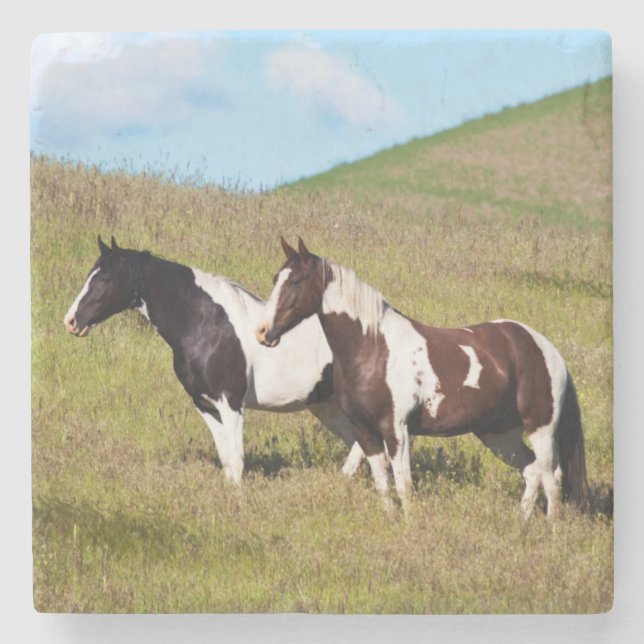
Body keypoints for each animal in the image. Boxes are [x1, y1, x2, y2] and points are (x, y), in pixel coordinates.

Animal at [63, 236, 365, 484]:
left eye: (105, 279)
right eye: (91, 275)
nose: (72, 321)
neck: (205, 324)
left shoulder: (230, 402)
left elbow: (237, 460)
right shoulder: (204, 403)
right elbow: (226, 460)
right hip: (327, 406)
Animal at [256, 237, 588, 517]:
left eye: (295, 281)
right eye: (275, 279)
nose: (263, 332)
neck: (373, 348)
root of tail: (546, 349)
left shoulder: (397, 429)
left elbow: (404, 485)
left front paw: (410, 525)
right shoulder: (364, 431)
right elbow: (383, 484)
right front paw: (391, 521)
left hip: (540, 428)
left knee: (552, 477)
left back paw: (551, 529)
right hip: (498, 433)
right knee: (532, 471)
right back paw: (522, 523)